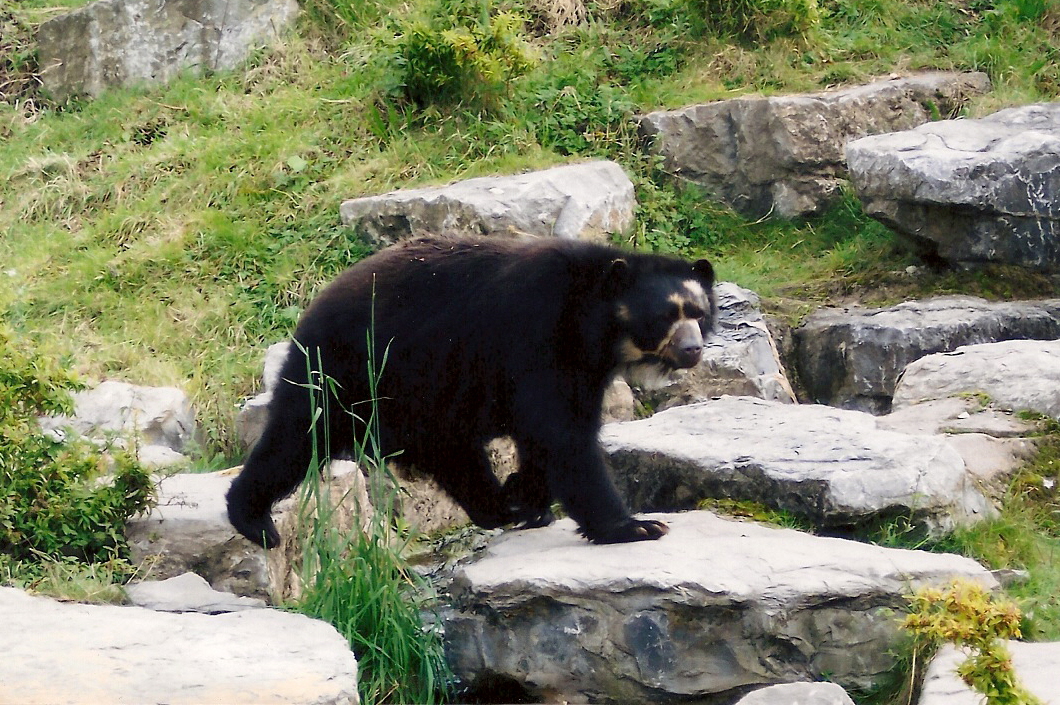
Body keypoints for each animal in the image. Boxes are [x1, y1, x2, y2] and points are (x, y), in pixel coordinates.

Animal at [227, 235, 716, 548]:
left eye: (699, 312)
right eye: (667, 315)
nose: (693, 349)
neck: (593, 325)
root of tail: (312, 307)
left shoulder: (584, 366)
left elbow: (556, 430)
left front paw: (526, 495)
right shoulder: (535, 335)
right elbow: (560, 435)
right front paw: (636, 526)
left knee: (455, 454)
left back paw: (500, 507)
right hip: (347, 366)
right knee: (299, 435)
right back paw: (254, 520)